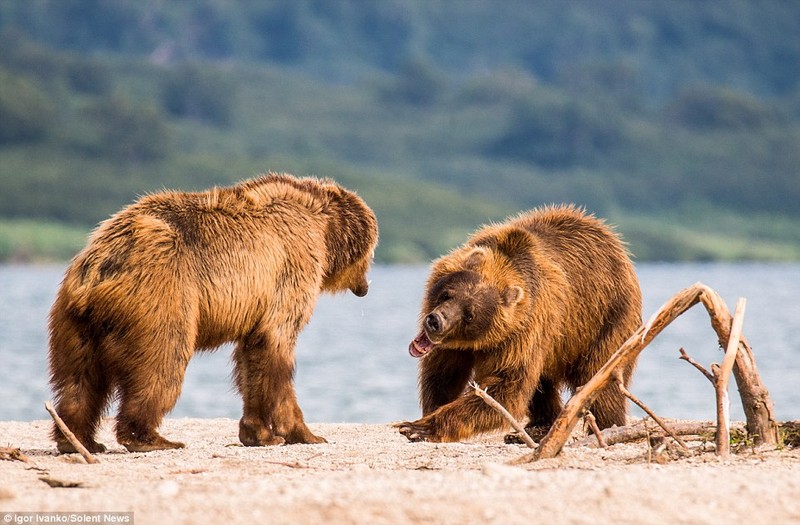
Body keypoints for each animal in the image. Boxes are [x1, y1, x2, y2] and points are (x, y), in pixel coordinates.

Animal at [48, 172, 380, 450]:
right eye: (371, 252)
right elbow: (277, 344)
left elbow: (252, 355)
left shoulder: (258, 301)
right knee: (161, 362)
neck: (321, 227)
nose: (366, 287)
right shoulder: (293, 267)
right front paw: (304, 433)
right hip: (160, 294)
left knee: (78, 380)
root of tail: (100, 267)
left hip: (73, 321)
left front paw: (258, 433)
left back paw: (78, 439)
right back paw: (150, 438)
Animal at [400, 205, 644, 442]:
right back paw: (536, 428)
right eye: (448, 294)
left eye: (470, 314)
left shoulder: (521, 333)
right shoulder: (456, 346)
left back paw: (608, 427)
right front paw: (428, 412)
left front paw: (419, 428)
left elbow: (506, 387)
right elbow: (443, 373)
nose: (436, 321)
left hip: (606, 319)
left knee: (602, 379)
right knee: (542, 383)